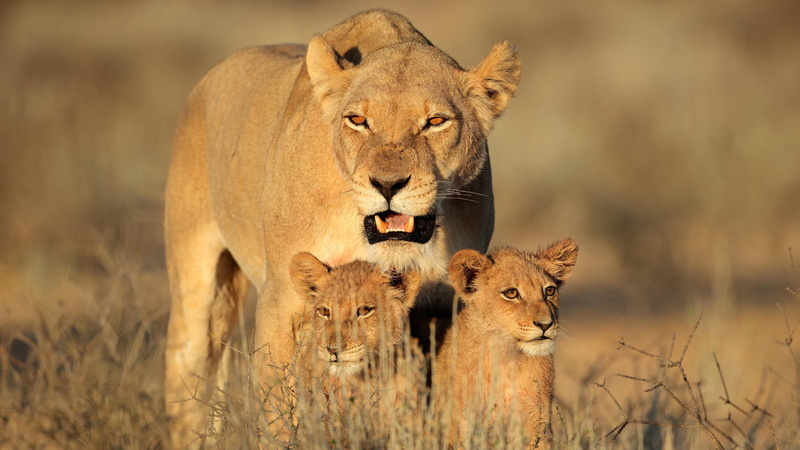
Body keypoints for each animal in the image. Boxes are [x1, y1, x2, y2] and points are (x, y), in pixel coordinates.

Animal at [163, 8, 520, 447]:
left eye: (435, 121)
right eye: (358, 120)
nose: (388, 184)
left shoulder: (441, 307)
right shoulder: (282, 299)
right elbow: (279, 408)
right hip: (197, 289)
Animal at [434, 238, 578, 448]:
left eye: (550, 291)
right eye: (511, 293)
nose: (546, 324)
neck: (506, 357)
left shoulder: (537, 423)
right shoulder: (466, 423)